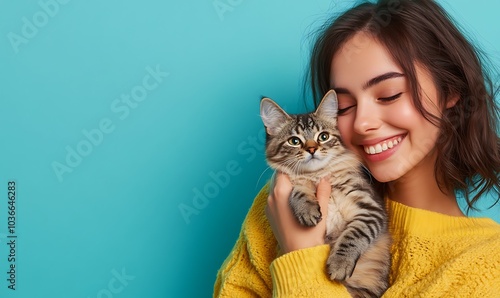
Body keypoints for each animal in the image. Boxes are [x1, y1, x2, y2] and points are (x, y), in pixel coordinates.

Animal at [260, 89, 392, 296]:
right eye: (294, 141)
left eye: (323, 136)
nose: (312, 149)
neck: (317, 175)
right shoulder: (294, 184)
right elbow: (298, 190)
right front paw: (307, 210)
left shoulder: (370, 208)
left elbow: (353, 236)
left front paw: (340, 264)